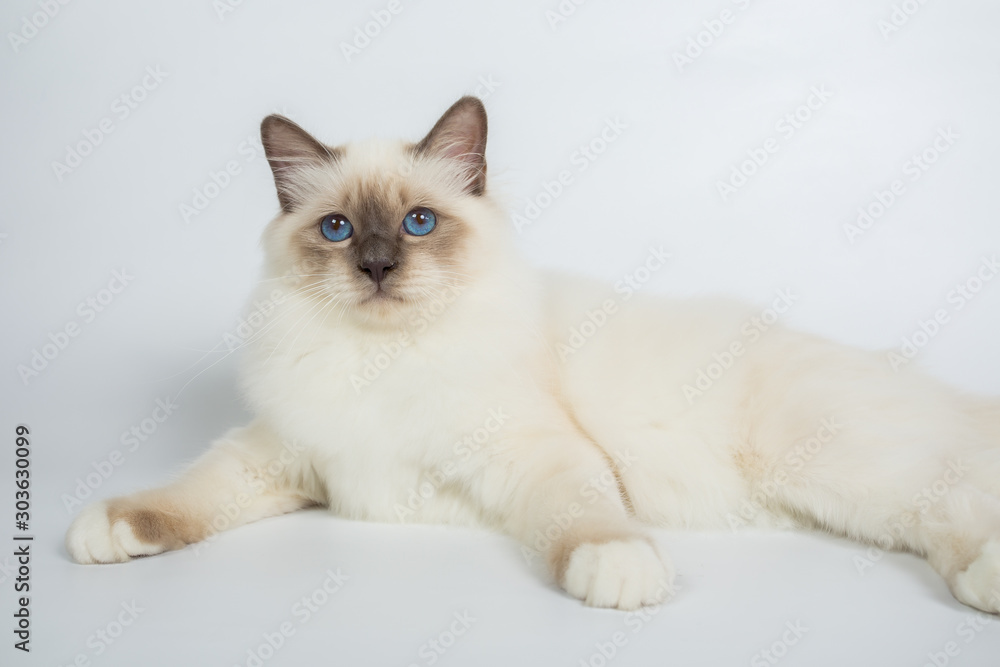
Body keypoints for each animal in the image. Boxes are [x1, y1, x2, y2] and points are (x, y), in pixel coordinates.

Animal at [64, 96, 1000, 612]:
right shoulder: (284, 456)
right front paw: (108, 529)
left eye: (417, 223)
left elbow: (585, 520)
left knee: (946, 507)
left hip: (835, 467)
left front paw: (619, 571)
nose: (377, 267)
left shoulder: (536, 454)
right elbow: (186, 495)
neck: (382, 362)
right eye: (336, 229)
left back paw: (985, 583)